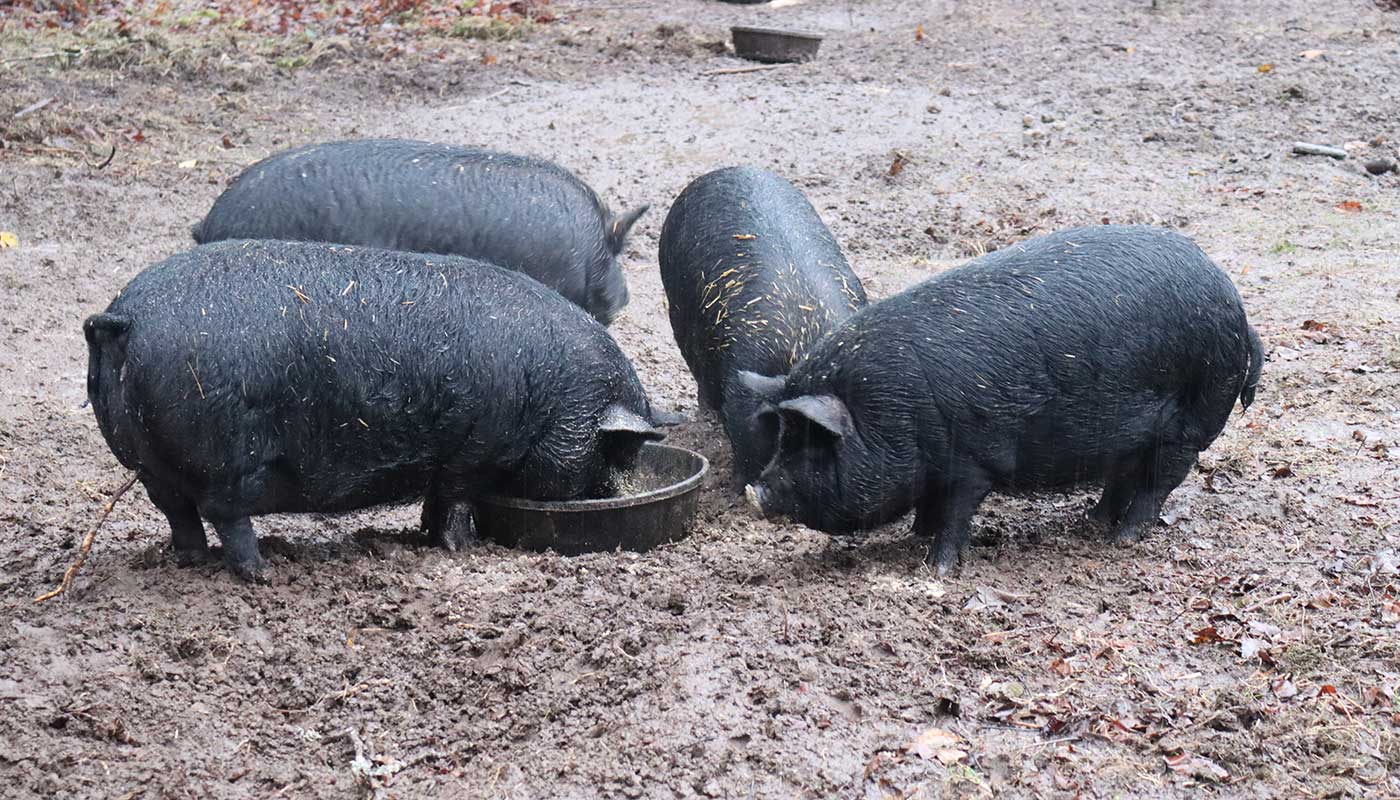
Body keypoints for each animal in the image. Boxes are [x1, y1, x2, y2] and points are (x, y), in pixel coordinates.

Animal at [84, 239, 669, 582]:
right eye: (616, 449)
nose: (609, 493)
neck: (551, 397)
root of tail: (124, 319)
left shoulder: (452, 459)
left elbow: (436, 501)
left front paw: (431, 539)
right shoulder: (472, 451)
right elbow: (455, 500)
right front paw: (462, 551)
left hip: (143, 460)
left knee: (177, 512)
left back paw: (192, 560)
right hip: (224, 457)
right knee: (225, 515)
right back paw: (263, 574)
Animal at [744, 225, 1271, 577]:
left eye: (815, 444)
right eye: (785, 437)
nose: (757, 491)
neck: (891, 412)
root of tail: (1239, 308)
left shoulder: (972, 462)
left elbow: (954, 516)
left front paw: (935, 570)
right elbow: (929, 508)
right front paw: (914, 536)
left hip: (1192, 419)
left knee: (1158, 483)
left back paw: (1121, 539)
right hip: (1132, 434)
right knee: (1122, 477)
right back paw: (1091, 521)